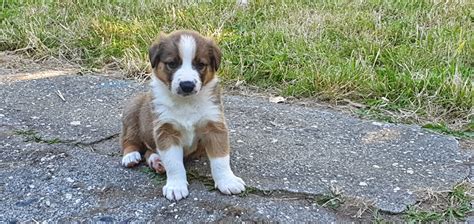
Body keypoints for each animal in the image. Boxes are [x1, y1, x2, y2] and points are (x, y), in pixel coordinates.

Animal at [118, 30, 246, 201]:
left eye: (200, 65)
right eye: (172, 64)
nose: (187, 85)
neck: (186, 102)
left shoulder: (214, 125)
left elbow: (221, 159)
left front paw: (227, 181)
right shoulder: (166, 130)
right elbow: (174, 163)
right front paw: (176, 187)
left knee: (149, 151)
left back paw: (156, 161)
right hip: (132, 109)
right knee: (129, 139)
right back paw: (131, 156)